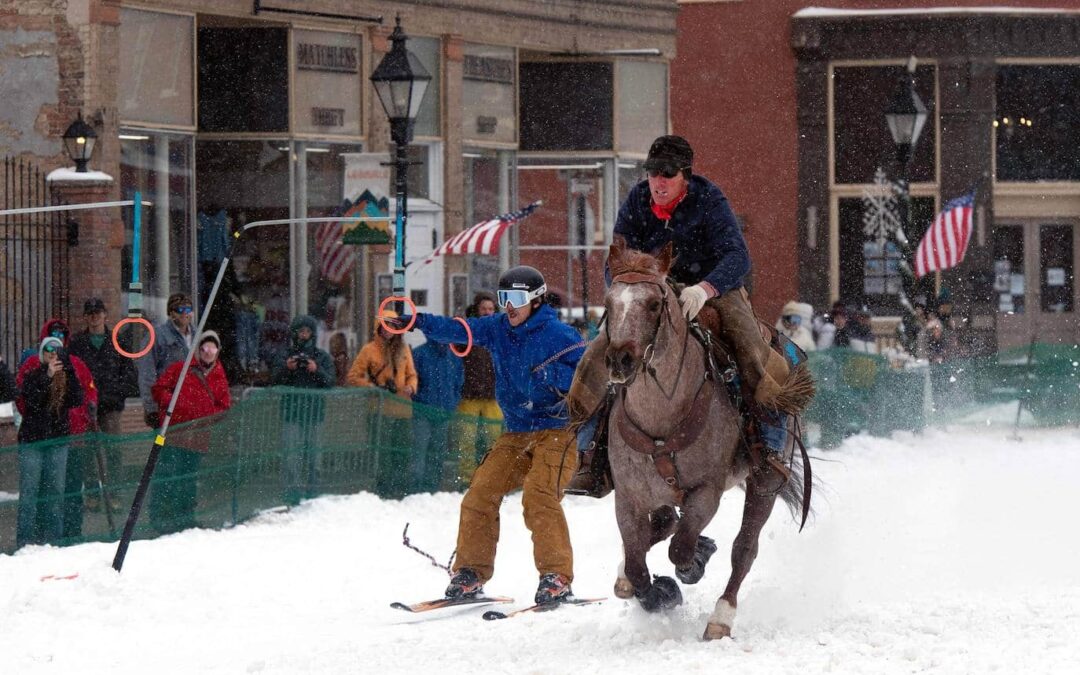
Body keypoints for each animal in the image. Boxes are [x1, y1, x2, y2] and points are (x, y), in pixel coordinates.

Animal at [604, 239, 807, 639]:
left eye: (653, 304)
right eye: (609, 302)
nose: (620, 360)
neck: (662, 417)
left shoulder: (706, 492)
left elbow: (680, 551)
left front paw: (693, 563)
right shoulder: (628, 497)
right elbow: (637, 568)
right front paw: (654, 591)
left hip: (764, 482)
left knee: (744, 548)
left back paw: (720, 617)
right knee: (663, 526)